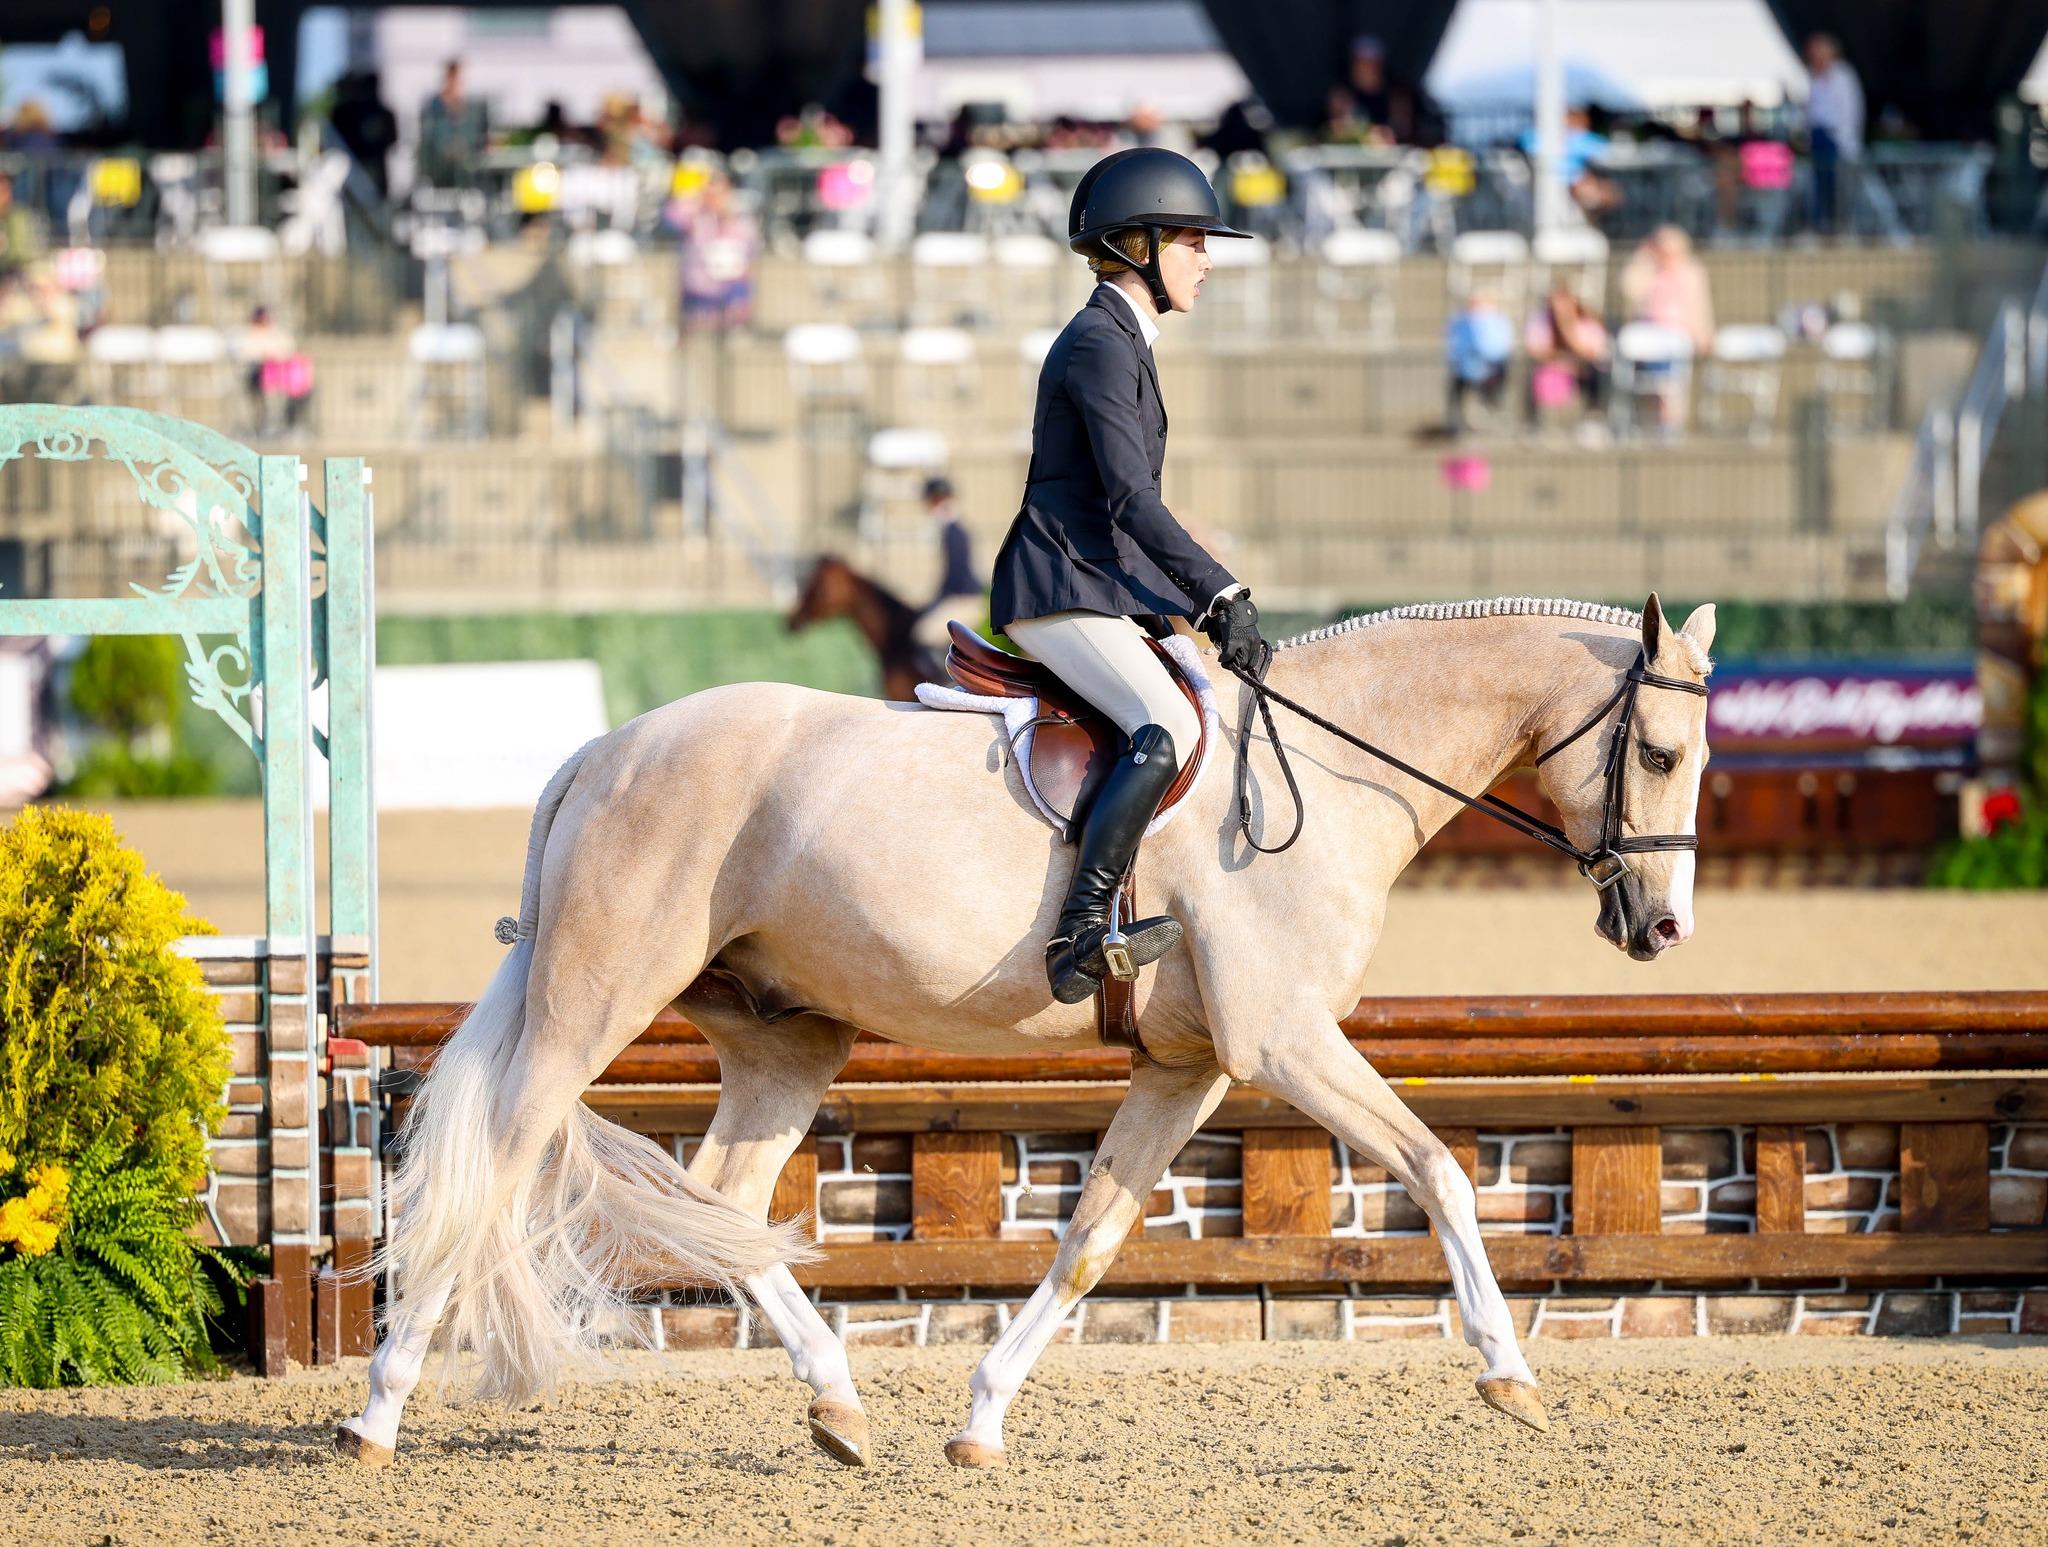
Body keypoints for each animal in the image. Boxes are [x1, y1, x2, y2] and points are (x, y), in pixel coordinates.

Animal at [336, 592, 1716, 1472]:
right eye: (1655, 752)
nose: (1660, 927)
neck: (1330, 774)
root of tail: (604, 747)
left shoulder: (1189, 1065)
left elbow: (1093, 1237)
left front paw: (981, 1419)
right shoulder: (1282, 1039)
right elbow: (1437, 1169)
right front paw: (1507, 1372)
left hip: (787, 1036)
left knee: (723, 1198)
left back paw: (838, 1404)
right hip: (593, 1001)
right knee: (499, 1164)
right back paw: (378, 1413)